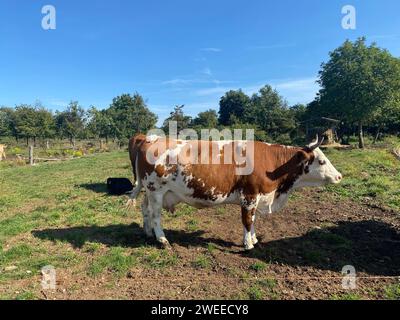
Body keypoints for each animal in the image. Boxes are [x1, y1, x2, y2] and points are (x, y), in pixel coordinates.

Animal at [128, 134, 340, 250]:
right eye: (321, 161)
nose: (339, 176)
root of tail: (149, 138)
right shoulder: (249, 196)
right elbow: (247, 220)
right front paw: (248, 244)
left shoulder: (257, 198)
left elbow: (253, 220)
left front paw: (254, 238)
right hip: (156, 190)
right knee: (155, 215)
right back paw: (162, 239)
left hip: (149, 191)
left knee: (145, 209)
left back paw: (148, 233)